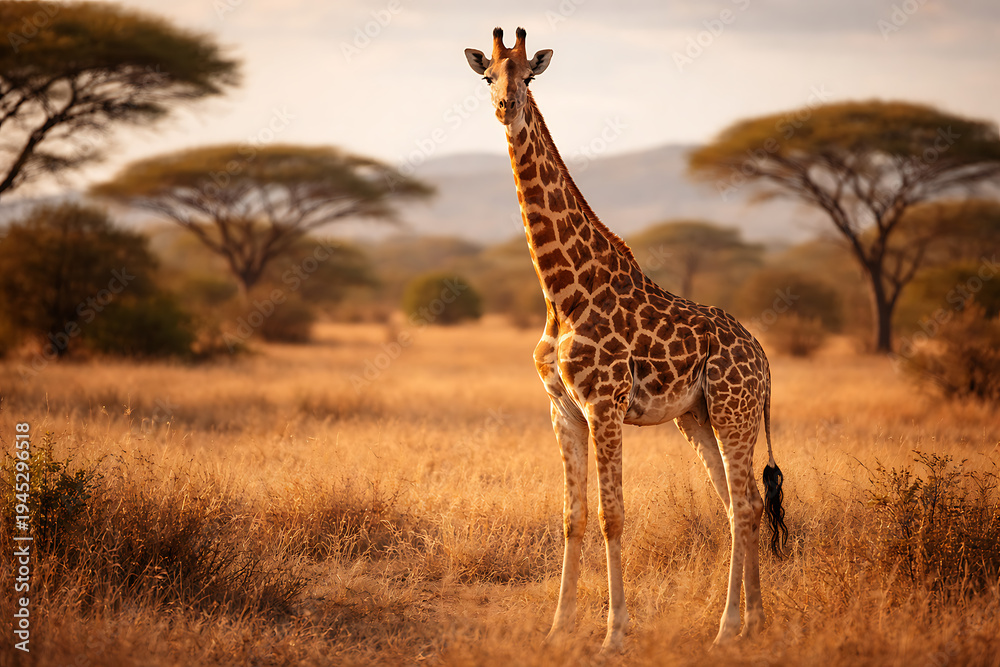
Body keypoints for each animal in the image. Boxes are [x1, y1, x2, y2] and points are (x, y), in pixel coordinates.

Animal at [464, 27, 788, 652]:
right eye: (488, 75)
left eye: (529, 76)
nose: (505, 108)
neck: (561, 292)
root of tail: (763, 357)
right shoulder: (562, 407)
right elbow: (573, 517)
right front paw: (558, 628)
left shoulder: (604, 404)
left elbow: (612, 515)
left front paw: (615, 634)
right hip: (698, 417)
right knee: (741, 506)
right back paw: (751, 623)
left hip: (733, 411)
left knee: (745, 504)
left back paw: (730, 628)